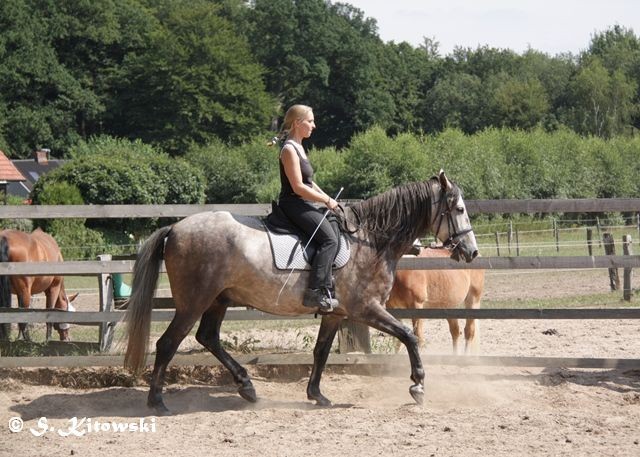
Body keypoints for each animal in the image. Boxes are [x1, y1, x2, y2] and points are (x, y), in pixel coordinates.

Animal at [122, 171, 478, 414]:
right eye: (459, 209)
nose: (472, 252)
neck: (370, 241)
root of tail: (175, 228)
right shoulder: (366, 308)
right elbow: (409, 336)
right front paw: (418, 384)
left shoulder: (336, 313)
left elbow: (321, 352)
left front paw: (316, 395)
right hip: (193, 303)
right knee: (168, 343)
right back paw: (157, 401)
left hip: (218, 300)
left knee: (207, 337)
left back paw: (246, 386)